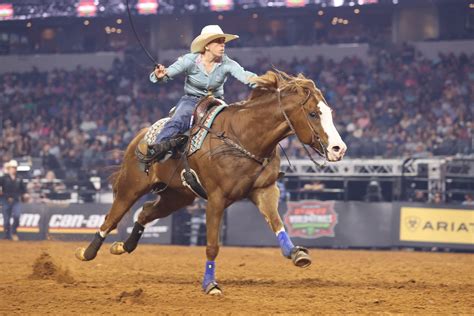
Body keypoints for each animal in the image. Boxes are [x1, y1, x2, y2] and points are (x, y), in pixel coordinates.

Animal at [75, 70, 348, 296]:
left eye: (330, 113)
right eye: (313, 113)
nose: (339, 149)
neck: (243, 137)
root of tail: (141, 137)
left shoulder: (265, 190)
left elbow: (277, 224)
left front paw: (297, 254)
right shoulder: (216, 199)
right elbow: (212, 246)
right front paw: (210, 285)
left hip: (178, 196)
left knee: (145, 212)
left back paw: (123, 246)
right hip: (130, 187)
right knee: (111, 219)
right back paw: (87, 253)